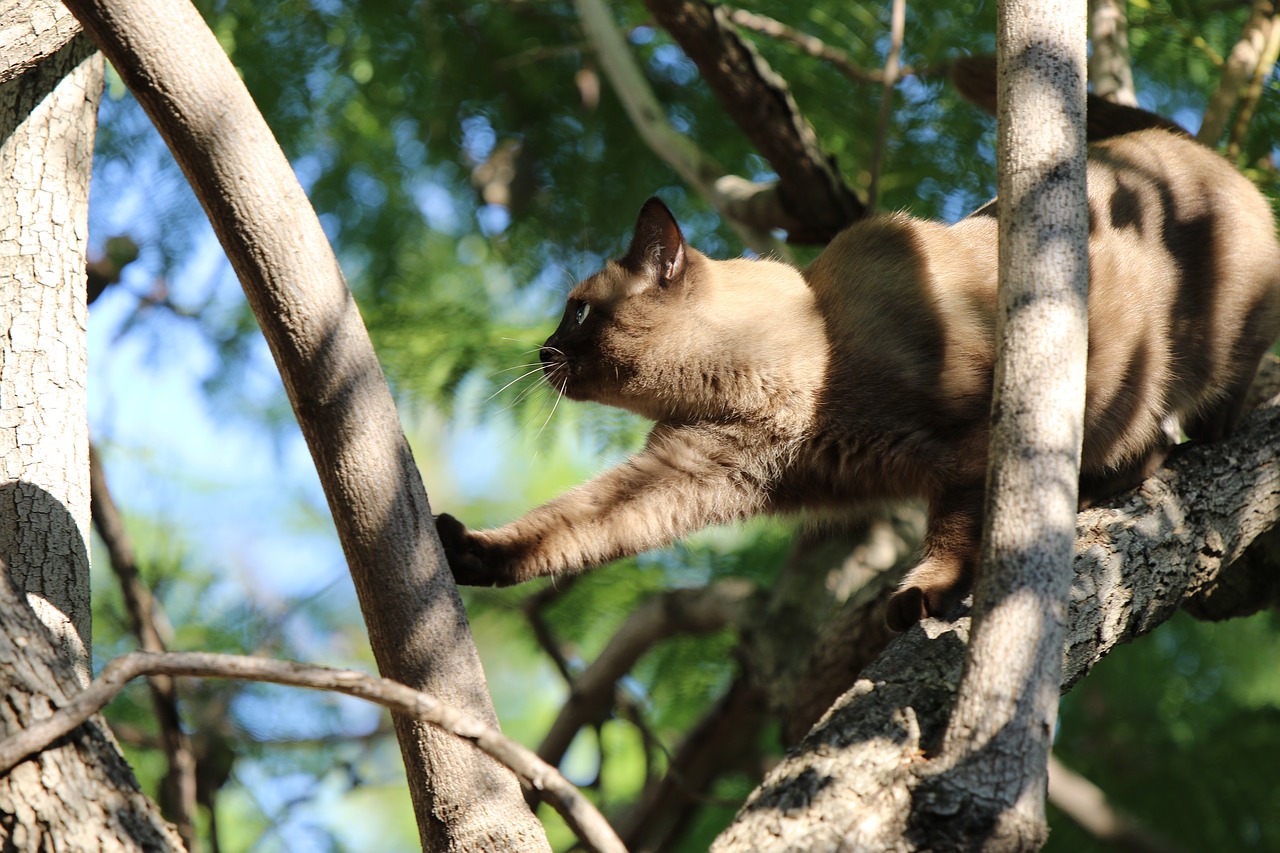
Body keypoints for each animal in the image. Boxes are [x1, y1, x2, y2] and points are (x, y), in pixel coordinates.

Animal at [435, 108, 1280, 630]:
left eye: (576, 312)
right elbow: (565, 527)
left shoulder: (976, 444)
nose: (541, 350)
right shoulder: (684, 477)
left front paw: (924, 596)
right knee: (1147, 442)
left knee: (1210, 409)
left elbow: (953, 538)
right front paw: (467, 550)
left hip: (1202, 348)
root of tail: (1215, 157)